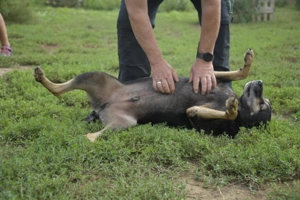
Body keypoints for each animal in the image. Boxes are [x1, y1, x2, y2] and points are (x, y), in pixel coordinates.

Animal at [33, 49, 272, 141]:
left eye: (263, 106)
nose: (260, 83)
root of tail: (102, 106)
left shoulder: (204, 121)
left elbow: (223, 113)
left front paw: (231, 108)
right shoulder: (209, 76)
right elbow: (239, 73)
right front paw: (248, 62)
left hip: (122, 124)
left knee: (91, 135)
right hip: (94, 77)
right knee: (58, 89)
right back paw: (41, 77)